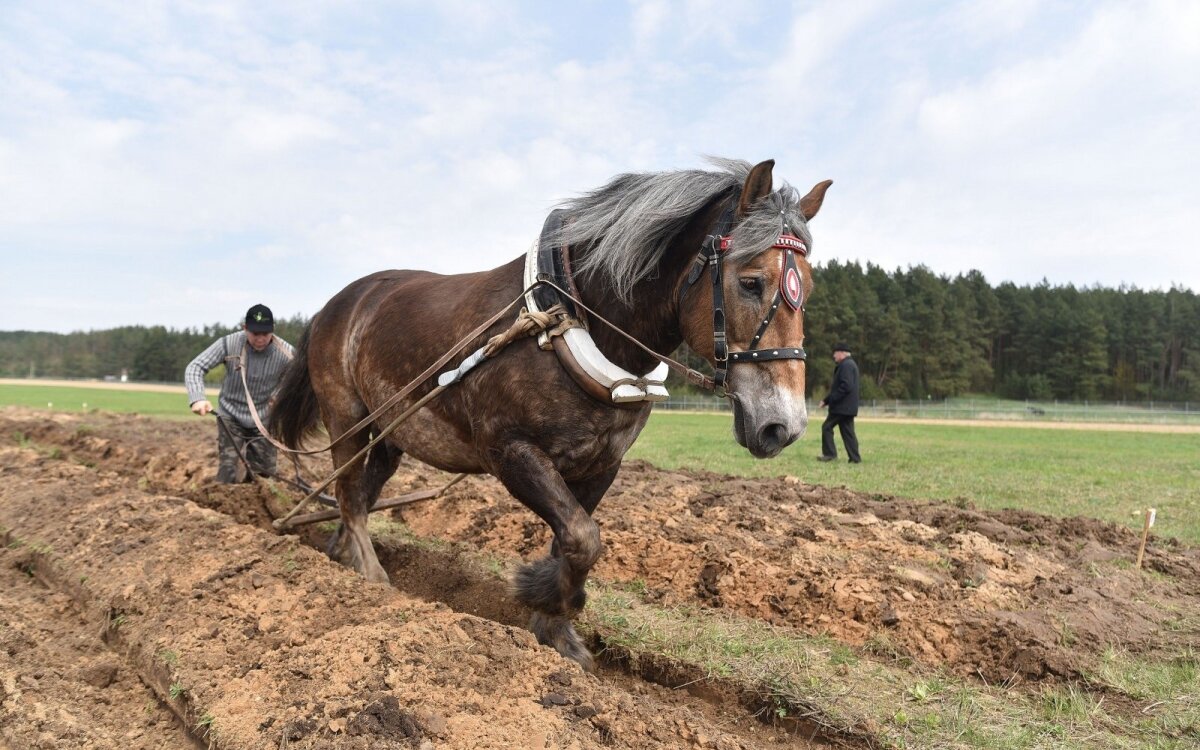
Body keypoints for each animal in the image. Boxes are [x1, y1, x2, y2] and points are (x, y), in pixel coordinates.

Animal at [270, 156, 835, 667]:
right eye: (751, 281)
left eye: (806, 287)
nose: (783, 426)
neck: (570, 320)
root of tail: (335, 303)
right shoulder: (511, 450)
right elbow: (584, 538)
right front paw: (545, 599)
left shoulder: (602, 463)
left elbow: (572, 539)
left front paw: (556, 629)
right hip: (346, 415)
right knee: (347, 490)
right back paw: (370, 576)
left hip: (390, 430)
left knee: (364, 490)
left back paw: (340, 553)